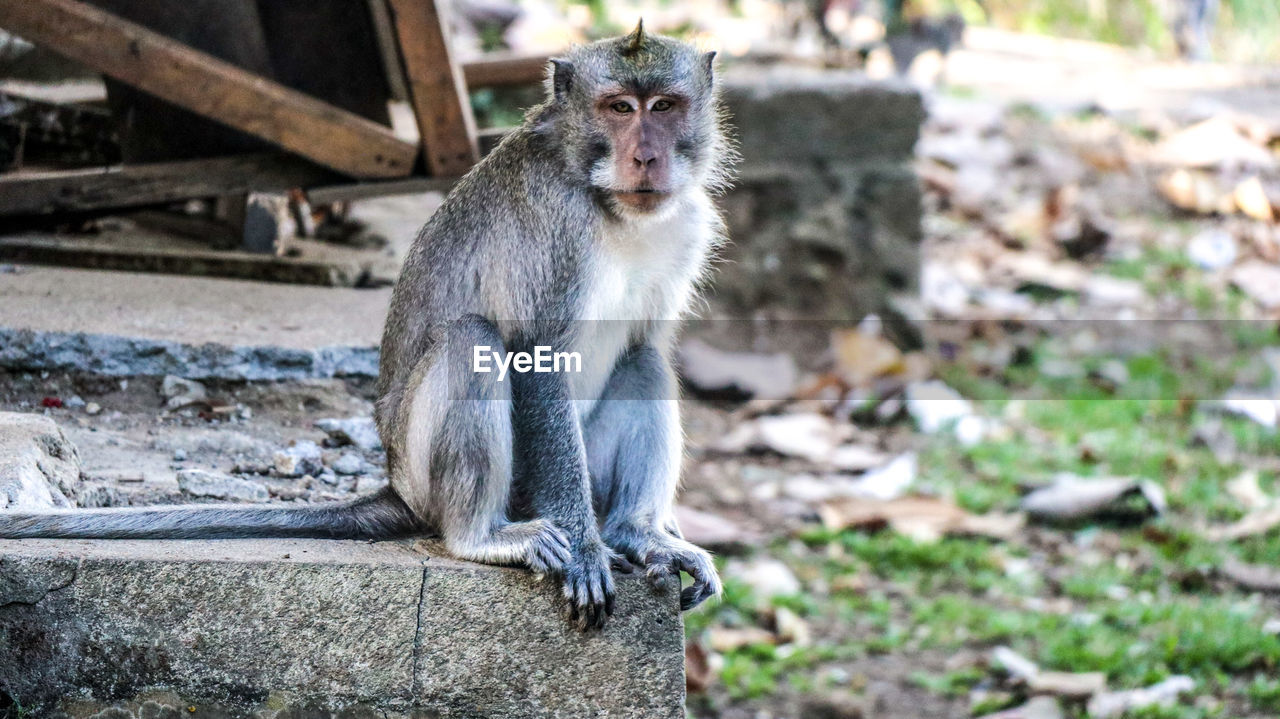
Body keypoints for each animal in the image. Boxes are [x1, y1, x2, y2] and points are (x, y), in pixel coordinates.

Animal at [0, 20, 732, 626]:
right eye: (619, 108)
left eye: (665, 107)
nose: (647, 157)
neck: (610, 203)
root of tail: (398, 487)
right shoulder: (559, 222)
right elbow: (537, 353)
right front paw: (583, 545)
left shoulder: (688, 220)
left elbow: (644, 342)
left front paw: (630, 535)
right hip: (434, 471)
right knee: (473, 341)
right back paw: (482, 535)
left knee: (643, 358)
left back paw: (633, 530)